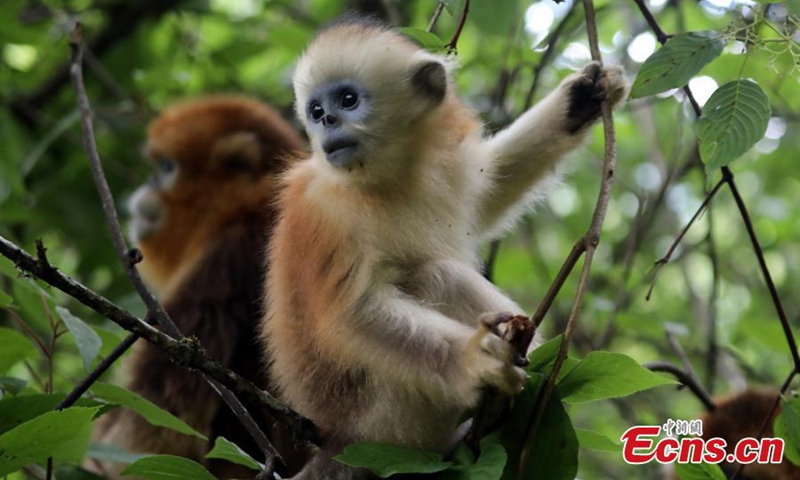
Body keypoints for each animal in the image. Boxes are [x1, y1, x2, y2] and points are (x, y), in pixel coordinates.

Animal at [262, 19, 628, 479]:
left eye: (347, 100)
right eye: (314, 111)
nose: (326, 119)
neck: (385, 180)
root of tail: (333, 442)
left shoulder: (450, 169)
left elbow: (490, 190)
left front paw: (581, 98)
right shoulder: (324, 212)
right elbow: (352, 315)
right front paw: (476, 361)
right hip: (386, 425)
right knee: (438, 276)